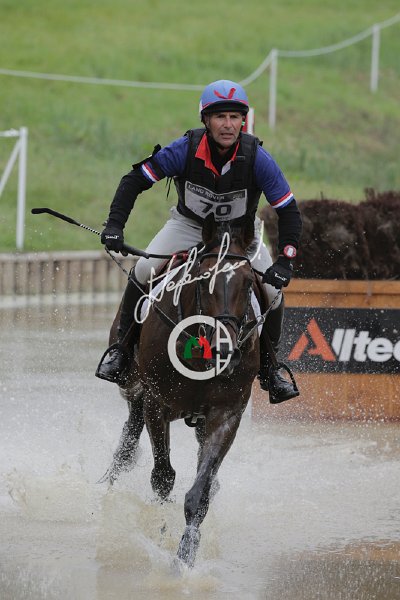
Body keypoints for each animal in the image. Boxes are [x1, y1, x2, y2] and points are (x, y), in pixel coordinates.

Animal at [99, 215, 264, 568]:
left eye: (248, 284)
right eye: (204, 280)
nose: (225, 350)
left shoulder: (226, 414)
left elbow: (200, 491)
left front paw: (185, 555)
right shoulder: (156, 404)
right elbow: (163, 476)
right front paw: (159, 529)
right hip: (134, 387)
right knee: (129, 439)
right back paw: (109, 485)